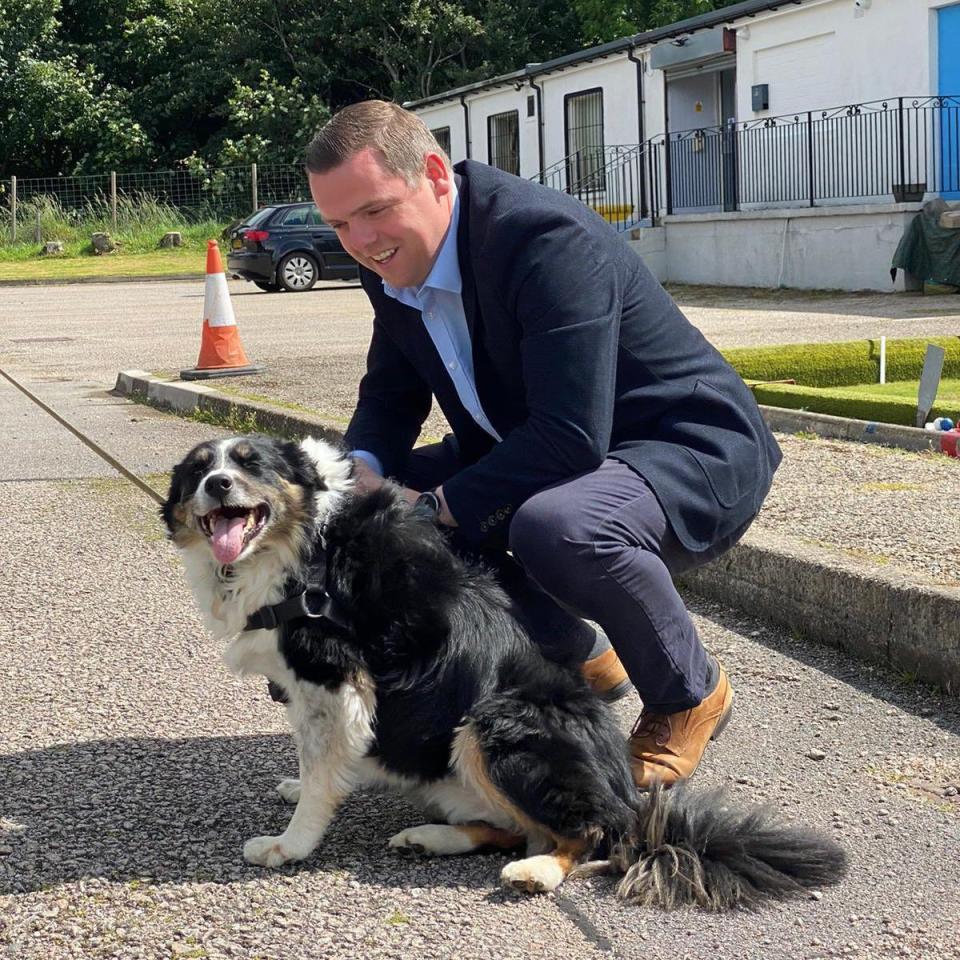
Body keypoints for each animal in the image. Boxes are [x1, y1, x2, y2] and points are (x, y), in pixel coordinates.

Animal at [165, 436, 848, 908]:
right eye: (199, 470)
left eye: (251, 464)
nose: (218, 485)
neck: (305, 541)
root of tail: (630, 798)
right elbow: (319, 762)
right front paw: (302, 787)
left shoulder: (334, 681)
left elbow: (320, 772)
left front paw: (289, 844)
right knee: (510, 829)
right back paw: (430, 837)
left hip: (496, 723)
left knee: (584, 836)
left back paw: (536, 872)